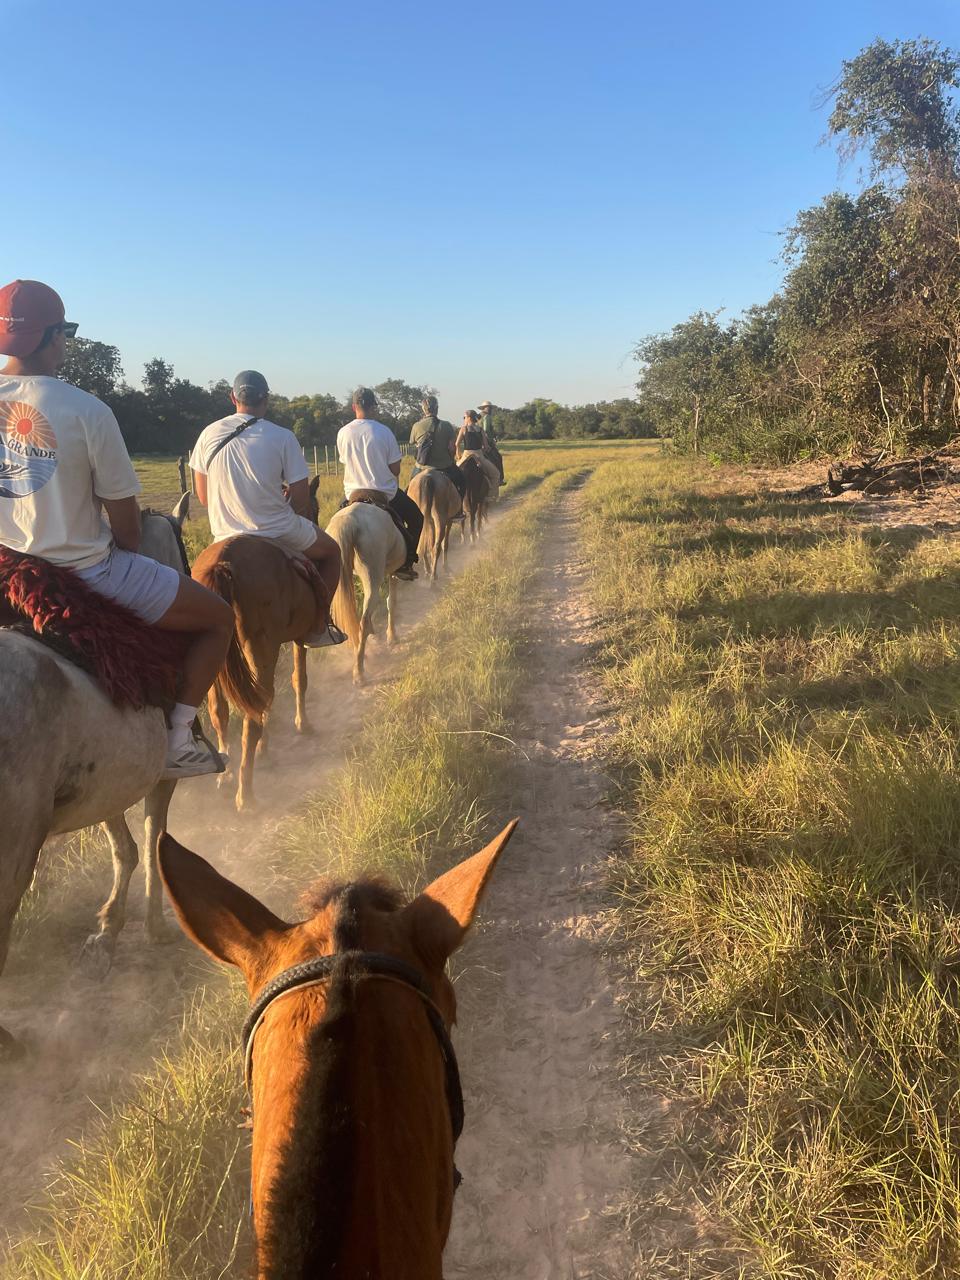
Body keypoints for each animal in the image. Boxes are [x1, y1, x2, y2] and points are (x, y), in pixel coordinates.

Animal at [0, 496, 191, 1062]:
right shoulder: (158, 778)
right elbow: (152, 839)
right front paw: (152, 924)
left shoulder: (104, 787)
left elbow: (124, 848)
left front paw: (106, 935)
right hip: (18, 839)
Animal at [191, 475, 323, 813]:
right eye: (314, 507)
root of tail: (223, 563)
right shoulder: (297, 640)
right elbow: (299, 679)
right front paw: (302, 725)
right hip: (259, 649)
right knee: (252, 714)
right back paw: (246, 794)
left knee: (221, 711)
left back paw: (226, 778)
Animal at [326, 500, 406, 685]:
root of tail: (349, 520)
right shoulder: (394, 572)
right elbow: (392, 602)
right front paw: (392, 637)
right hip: (372, 575)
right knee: (364, 621)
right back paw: (359, 673)